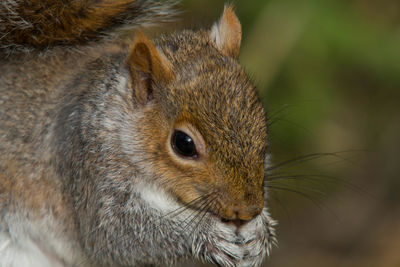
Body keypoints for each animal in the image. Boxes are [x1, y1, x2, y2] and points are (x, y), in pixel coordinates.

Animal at [0, 1, 276, 266]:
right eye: (183, 143)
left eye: (261, 120)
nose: (248, 210)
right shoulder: (88, 163)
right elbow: (115, 234)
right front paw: (208, 232)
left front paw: (259, 231)